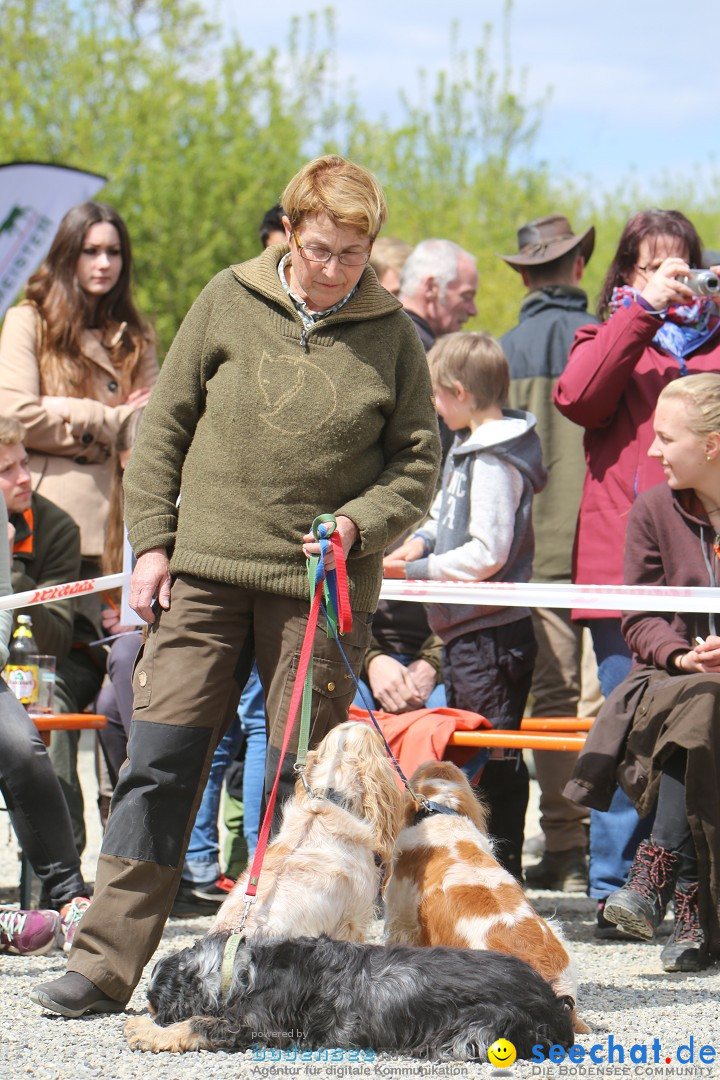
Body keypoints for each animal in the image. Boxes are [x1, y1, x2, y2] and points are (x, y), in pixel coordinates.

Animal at [125, 933, 574, 1058]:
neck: (241, 967)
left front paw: (145, 1031)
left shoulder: (257, 1026)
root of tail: (553, 1002)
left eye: (153, 1002)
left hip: (479, 1031)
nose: (147, 1009)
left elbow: (197, 1022)